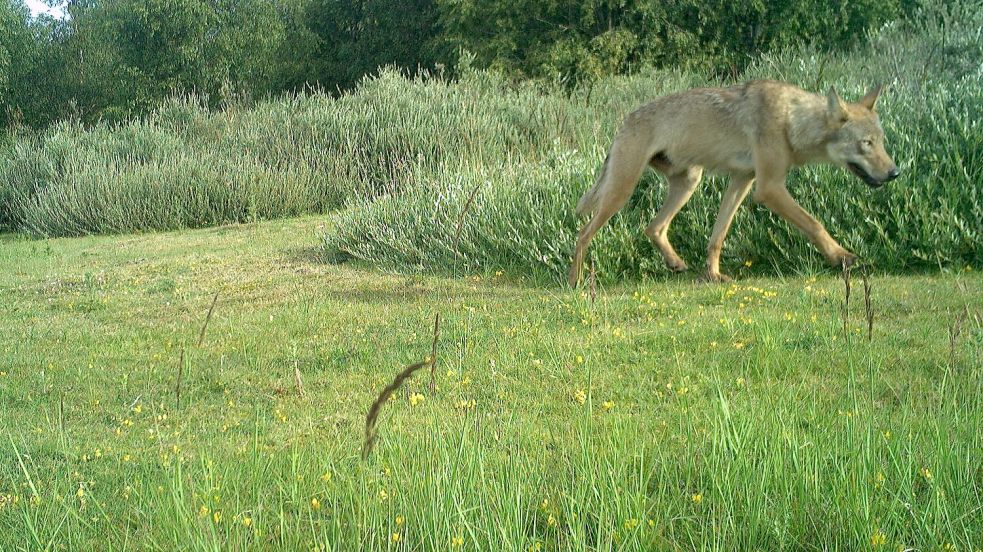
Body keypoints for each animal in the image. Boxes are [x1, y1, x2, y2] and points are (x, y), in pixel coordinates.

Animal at [568, 81, 900, 288]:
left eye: (881, 142)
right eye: (866, 143)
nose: (895, 172)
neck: (791, 120)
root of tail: (624, 120)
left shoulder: (742, 180)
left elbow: (718, 236)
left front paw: (713, 276)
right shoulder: (769, 188)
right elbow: (815, 224)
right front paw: (842, 257)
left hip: (689, 181)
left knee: (654, 227)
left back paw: (675, 263)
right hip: (621, 191)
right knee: (583, 234)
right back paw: (575, 282)